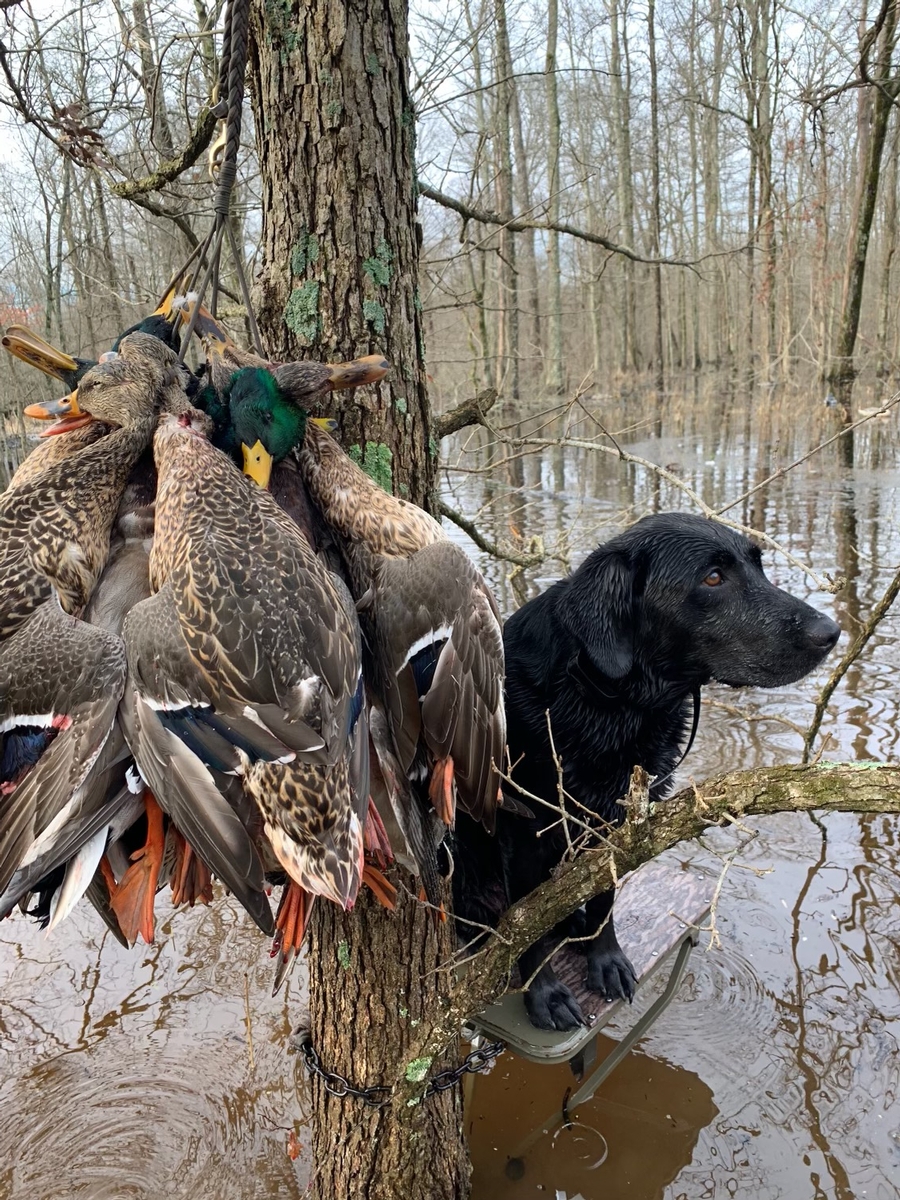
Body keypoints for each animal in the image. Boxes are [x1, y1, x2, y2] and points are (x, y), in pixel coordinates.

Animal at [453, 511, 844, 1027]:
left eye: (757, 565)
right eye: (713, 578)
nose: (830, 631)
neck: (609, 701)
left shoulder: (622, 822)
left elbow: (604, 898)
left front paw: (605, 959)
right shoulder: (523, 832)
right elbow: (525, 929)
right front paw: (546, 995)